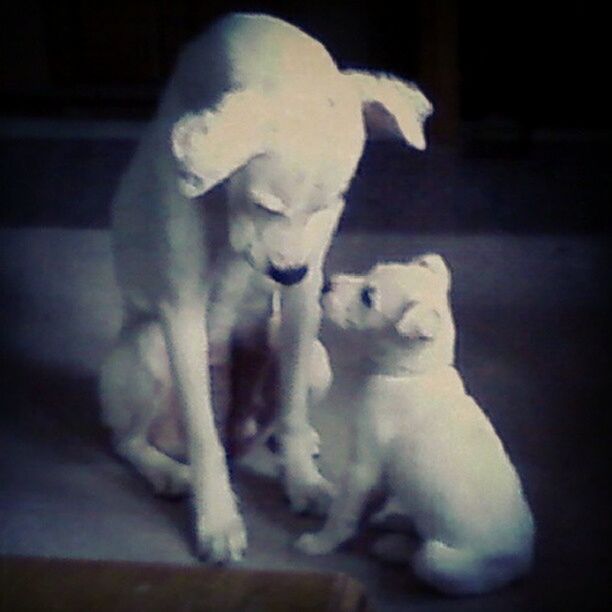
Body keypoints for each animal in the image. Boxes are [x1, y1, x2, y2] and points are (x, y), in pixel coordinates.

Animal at [98, 11, 432, 560]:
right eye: (266, 206)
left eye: (329, 205)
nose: (289, 273)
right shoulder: (180, 310)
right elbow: (203, 439)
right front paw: (217, 522)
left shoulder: (303, 299)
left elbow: (292, 403)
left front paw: (301, 481)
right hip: (149, 349)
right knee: (131, 441)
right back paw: (168, 472)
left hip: (316, 358)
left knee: (274, 416)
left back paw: (290, 442)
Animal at [298, 256, 536, 596]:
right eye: (369, 273)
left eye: (368, 297)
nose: (327, 284)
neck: (415, 372)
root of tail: (523, 563)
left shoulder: (363, 467)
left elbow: (343, 514)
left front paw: (320, 543)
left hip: (440, 560)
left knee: (420, 558)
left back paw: (393, 546)